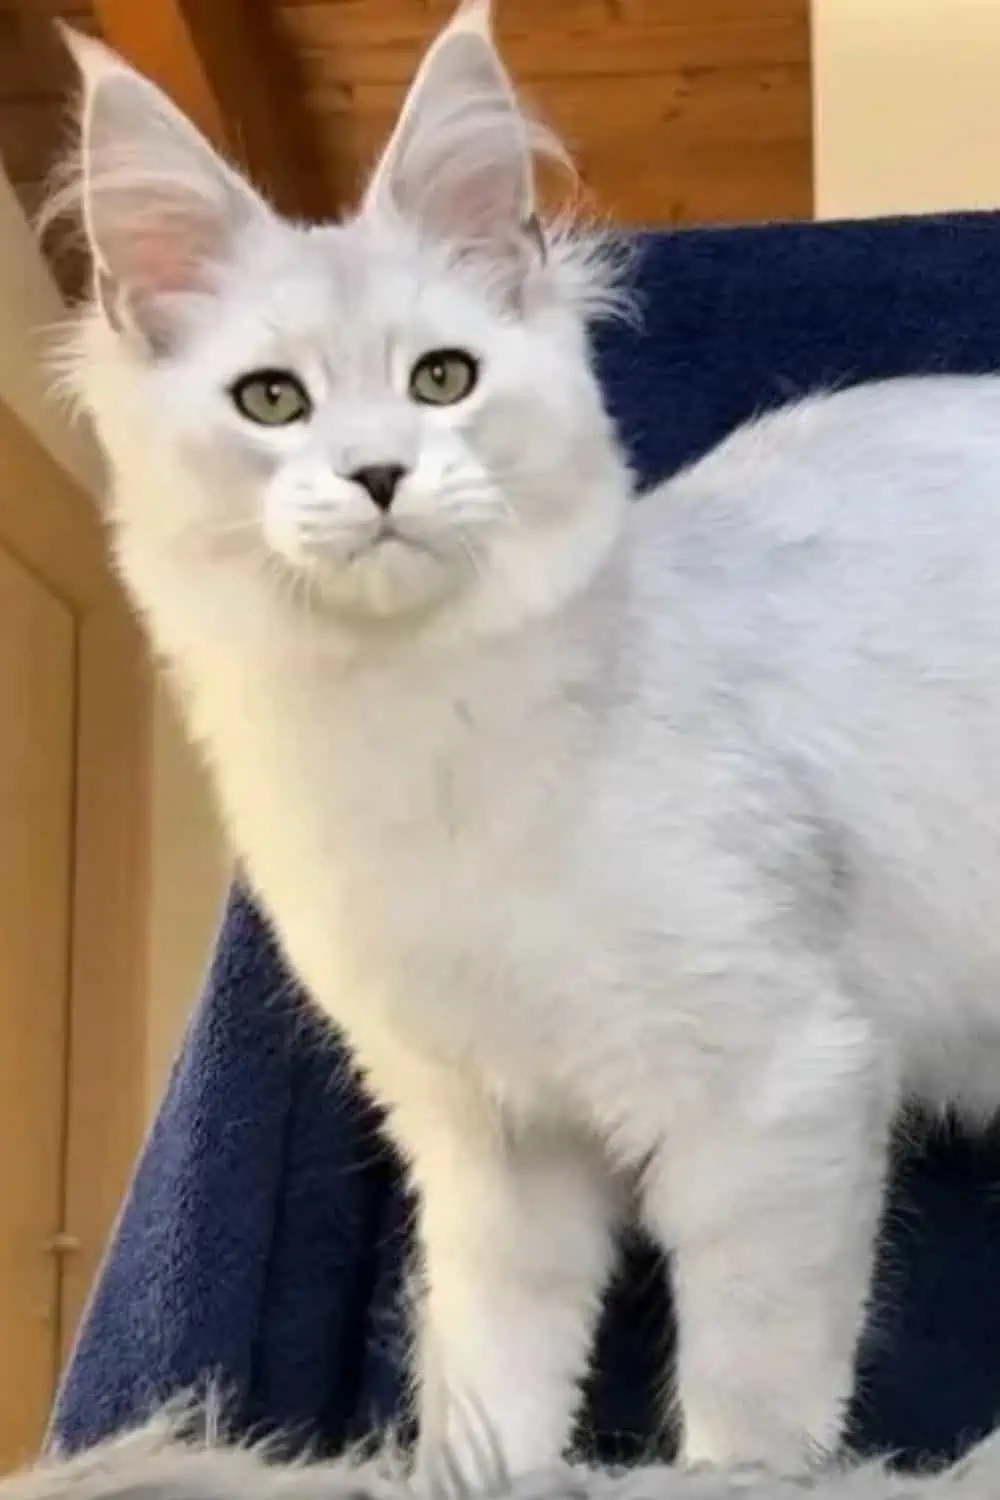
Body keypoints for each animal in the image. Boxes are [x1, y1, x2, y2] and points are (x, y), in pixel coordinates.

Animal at [48, 2, 1000, 1488]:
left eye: (443, 380)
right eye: (272, 402)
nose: (380, 474)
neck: (417, 735)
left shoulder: (778, 1089)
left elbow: (750, 1407)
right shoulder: (496, 1147)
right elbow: (490, 1389)